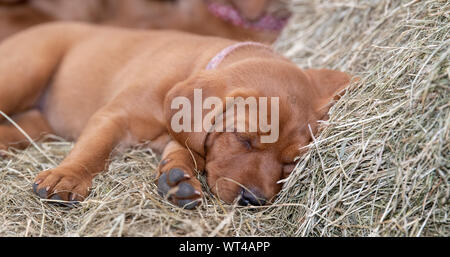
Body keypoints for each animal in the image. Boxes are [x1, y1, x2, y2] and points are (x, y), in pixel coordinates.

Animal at [0, 22, 352, 208]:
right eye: (243, 138)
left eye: (291, 162)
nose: (254, 200)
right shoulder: (114, 116)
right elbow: (93, 150)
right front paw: (68, 176)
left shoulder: (180, 134)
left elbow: (184, 149)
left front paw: (179, 178)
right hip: (24, 72)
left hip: (33, 124)